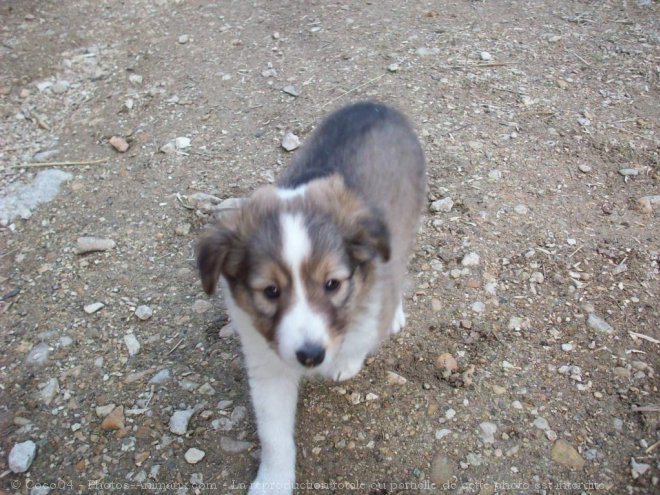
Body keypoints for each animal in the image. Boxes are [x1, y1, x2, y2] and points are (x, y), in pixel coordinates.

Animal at [196, 101, 426, 495]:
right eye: (271, 291)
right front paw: (272, 483)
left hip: (404, 227)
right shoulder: (267, 362)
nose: (310, 356)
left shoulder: (371, 291)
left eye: (332, 284)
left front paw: (344, 361)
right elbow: (274, 435)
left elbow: (361, 335)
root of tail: (376, 106)